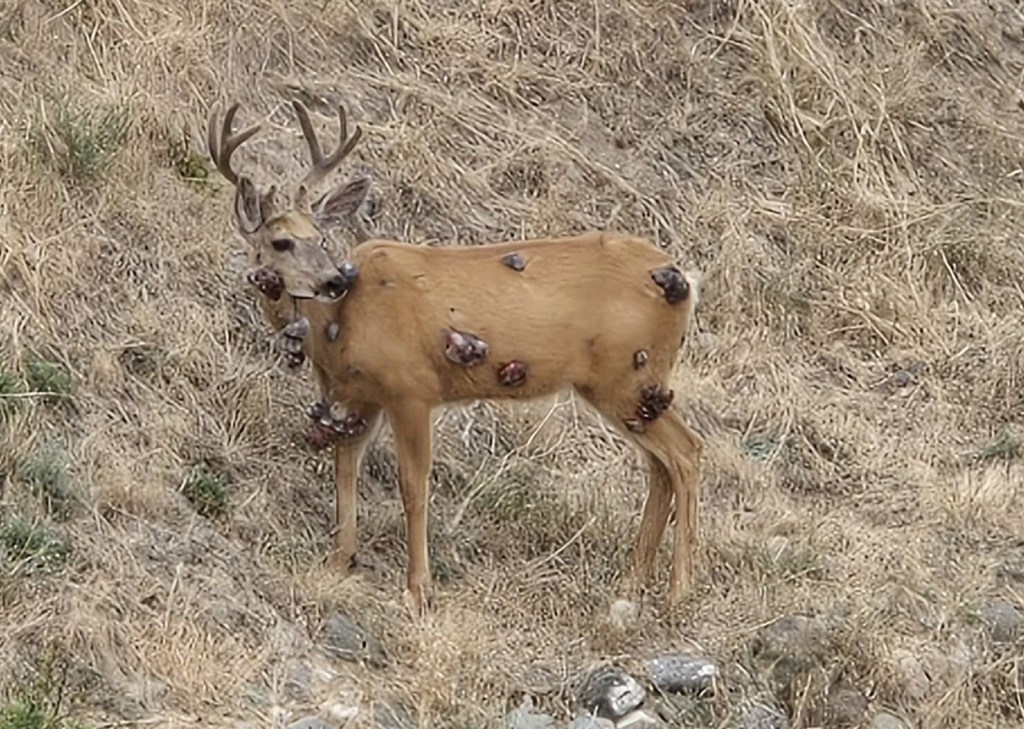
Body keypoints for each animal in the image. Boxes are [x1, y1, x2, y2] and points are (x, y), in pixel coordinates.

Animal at [206, 98, 705, 616]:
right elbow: (345, 470)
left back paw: (679, 589)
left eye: (321, 239)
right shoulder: (361, 398)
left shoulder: (410, 388)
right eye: (281, 242)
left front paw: (416, 588)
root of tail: (685, 281)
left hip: (626, 375)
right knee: (660, 466)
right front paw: (339, 560)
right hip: (631, 387)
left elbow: (413, 485)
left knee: (687, 452)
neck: (340, 325)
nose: (333, 279)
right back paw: (632, 583)